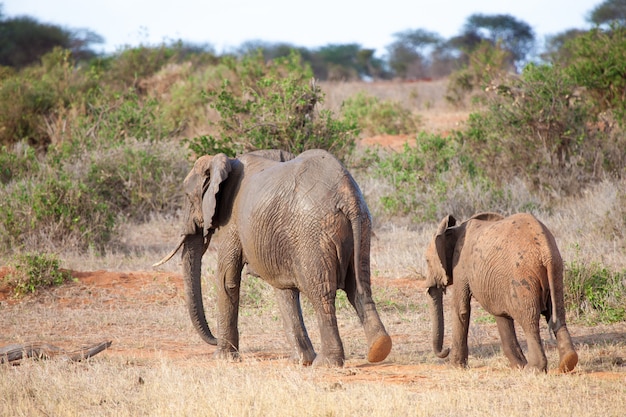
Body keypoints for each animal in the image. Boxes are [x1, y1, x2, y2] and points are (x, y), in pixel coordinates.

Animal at [155, 148, 390, 366]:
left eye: (188, 197)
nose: (212, 340)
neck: (226, 161)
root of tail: (347, 195)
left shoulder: (232, 221)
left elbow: (226, 279)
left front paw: (223, 358)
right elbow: (283, 288)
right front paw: (300, 361)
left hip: (314, 233)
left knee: (321, 293)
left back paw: (326, 363)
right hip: (362, 227)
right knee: (359, 286)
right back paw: (379, 349)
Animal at [422, 211, 576, 370]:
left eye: (427, 260)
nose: (445, 350)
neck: (453, 230)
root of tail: (545, 251)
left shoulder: (460, 264)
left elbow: (461, 309)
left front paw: (455, 367)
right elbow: (501, 313)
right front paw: (518, 366)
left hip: (522, 275)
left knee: (529, 320)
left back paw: (533, 369)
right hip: (556, 270)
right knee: (557, 313)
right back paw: (567, 362)